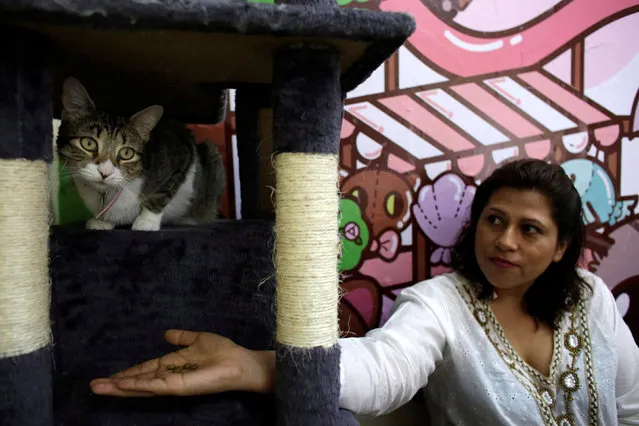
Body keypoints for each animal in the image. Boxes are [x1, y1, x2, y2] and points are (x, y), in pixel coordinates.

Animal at [55, 76, 226, 230]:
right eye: (88, 143)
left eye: (126, 153)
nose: (105, 172)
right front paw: (102, 221)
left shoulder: (181, 155)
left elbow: (161, 194)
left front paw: (146, 221)